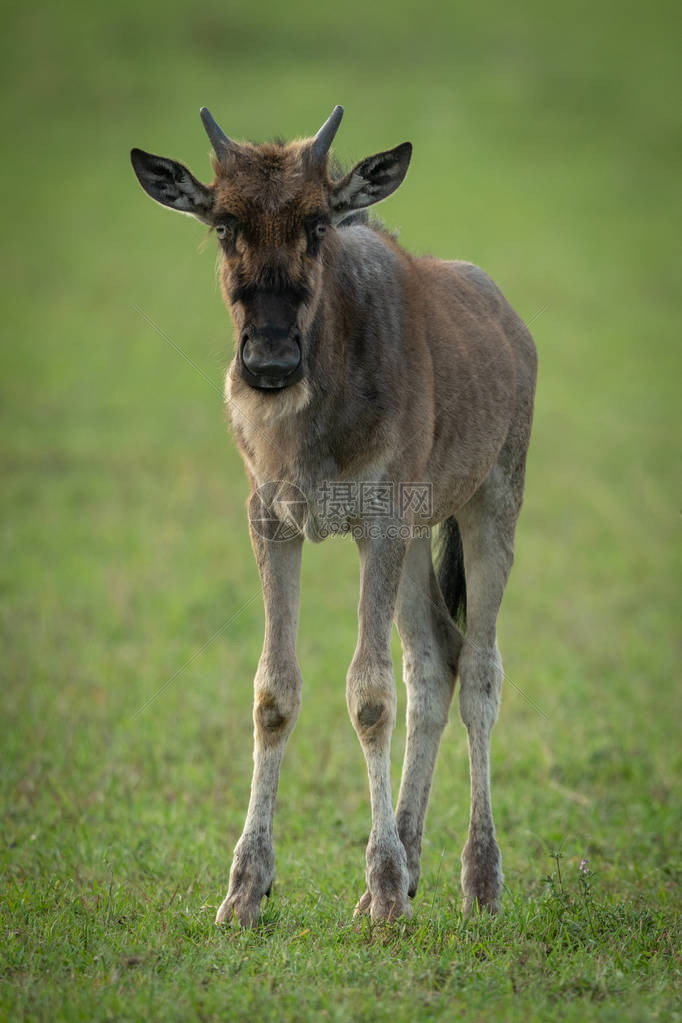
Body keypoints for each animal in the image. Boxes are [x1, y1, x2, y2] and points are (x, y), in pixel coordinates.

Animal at [131, 105, 539, 928]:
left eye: (319, 223)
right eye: (223, 224)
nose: (269, 362)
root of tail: (511, 326)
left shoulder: (378, 525)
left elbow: (370, 696)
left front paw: (382, 892)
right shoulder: (274, 522)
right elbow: (274, 693)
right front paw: (244, 891)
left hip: (491, 504)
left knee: (480, 671)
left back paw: (478, 881)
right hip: (418, 539)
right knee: (434, 662)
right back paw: (412, 863)